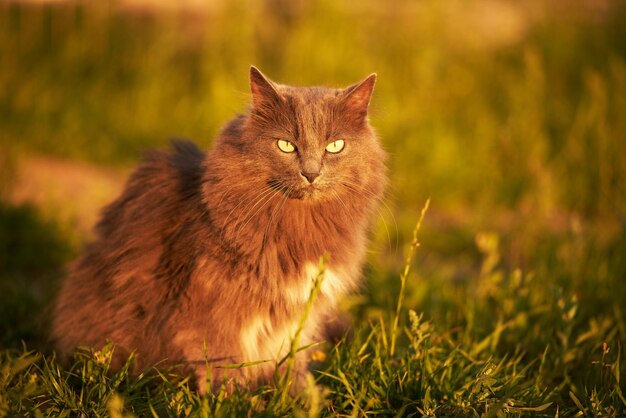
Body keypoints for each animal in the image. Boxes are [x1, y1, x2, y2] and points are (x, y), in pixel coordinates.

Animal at [51, 66, 386, 392]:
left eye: (335, 146)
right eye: (286, 145)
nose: (311, 173)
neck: (300, 226)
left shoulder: (301, 314)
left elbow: (292, 362)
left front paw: (301, 399)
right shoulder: (211, 307)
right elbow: (224, 363)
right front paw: (236, 401)